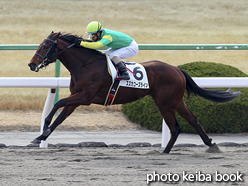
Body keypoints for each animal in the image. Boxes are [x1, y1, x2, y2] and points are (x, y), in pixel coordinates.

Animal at [28, 32, 239, 153]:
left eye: (45, 46)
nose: (31, 64)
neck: (85, 65)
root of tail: (177, 69)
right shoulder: (77, 98)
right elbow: (60, 118)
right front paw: (40, 137)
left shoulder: (85, 97)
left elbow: (57, 104)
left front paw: (43, 129)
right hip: (176, 101)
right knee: (193, 120)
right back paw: (211, 145)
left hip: (165, 103)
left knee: (176, 127)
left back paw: (165, 152)